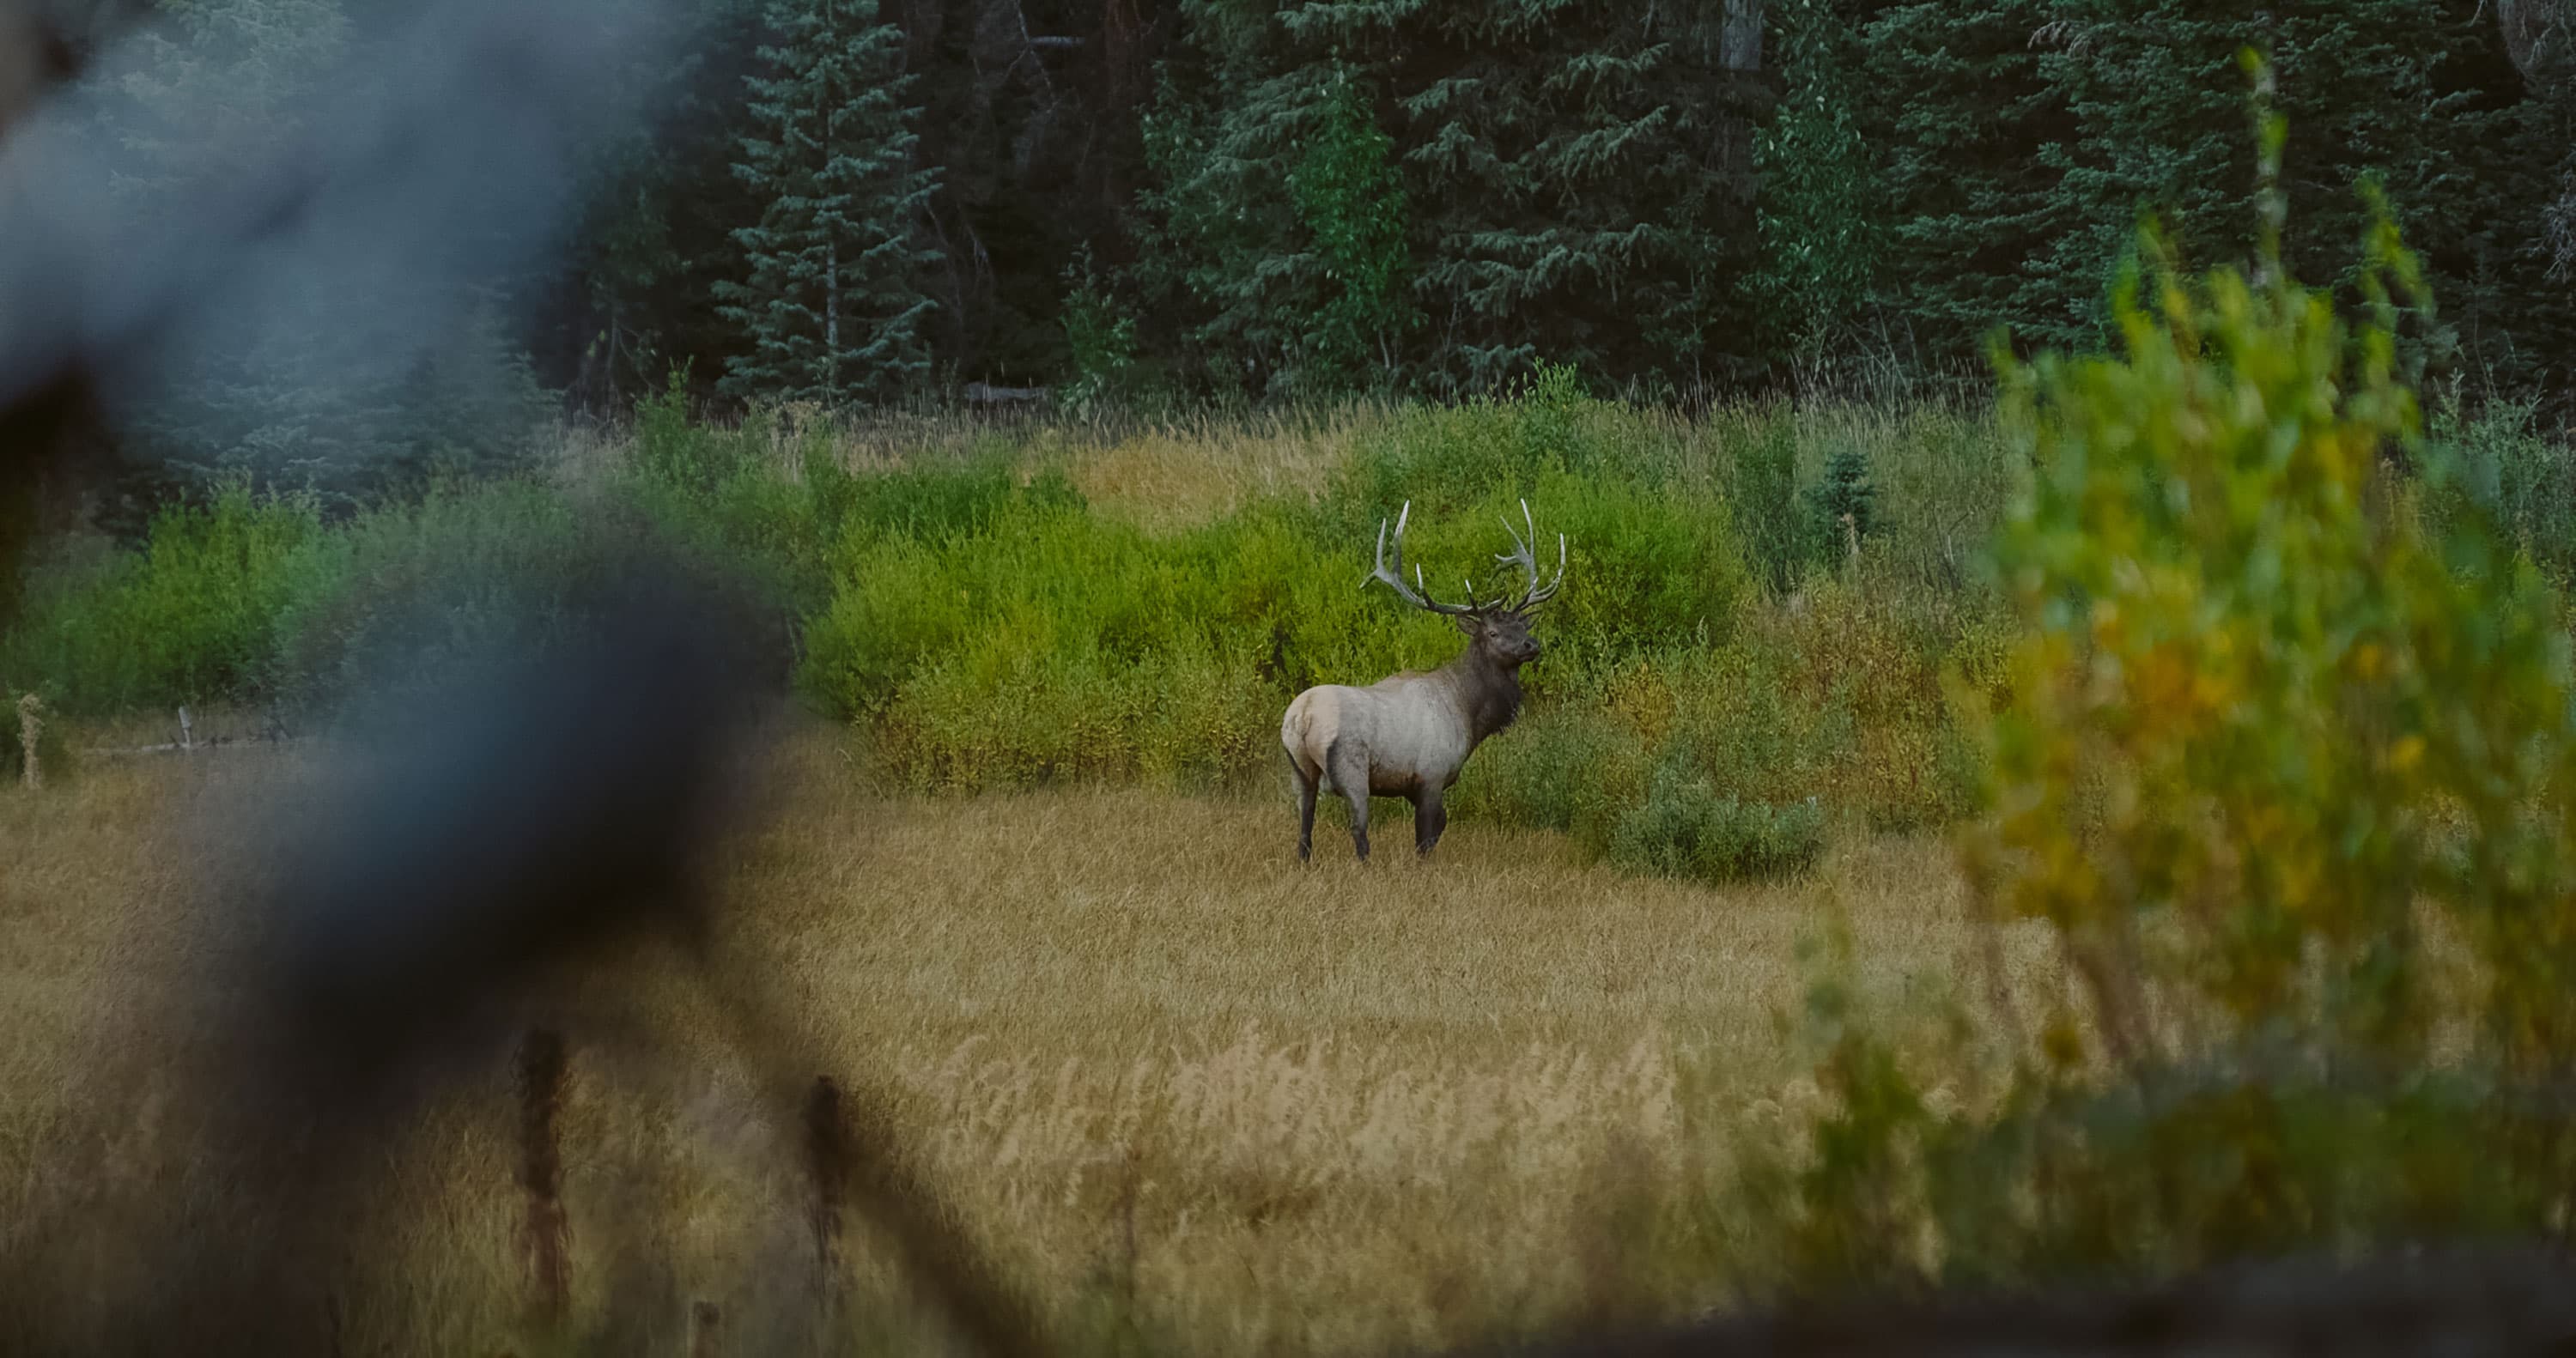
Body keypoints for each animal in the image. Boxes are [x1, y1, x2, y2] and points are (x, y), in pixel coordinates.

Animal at [1280, 499, 1566, 863]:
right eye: (1492, 632)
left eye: (1522, 626)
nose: (1532, 646)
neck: (1469, 714)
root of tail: (1302, 717)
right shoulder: (1431, 775)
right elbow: (1427, 836)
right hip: (1351, 768)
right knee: (1358, 829)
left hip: (1298, 770)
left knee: (1304, 828)